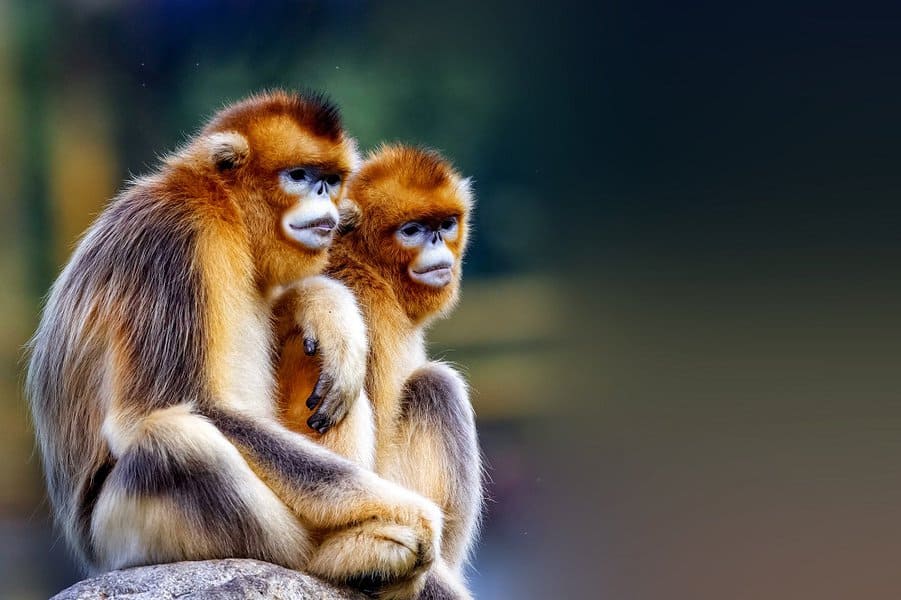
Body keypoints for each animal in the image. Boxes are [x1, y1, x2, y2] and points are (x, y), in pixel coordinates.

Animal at [25, 91, 446, 599]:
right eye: (300, 176)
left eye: (330, 181)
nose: (325, 201)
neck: (223, 207)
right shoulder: (175, 239)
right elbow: (173, 408)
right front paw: (414, 514)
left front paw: (326, 307)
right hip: (117, 537)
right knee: (175, 445)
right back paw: (339, 556)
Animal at [275, 145, 483, 597]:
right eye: (412, 231)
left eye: (445, 225)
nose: (437, 242)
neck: (367, 265)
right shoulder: (372, 311)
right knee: (435, 385)